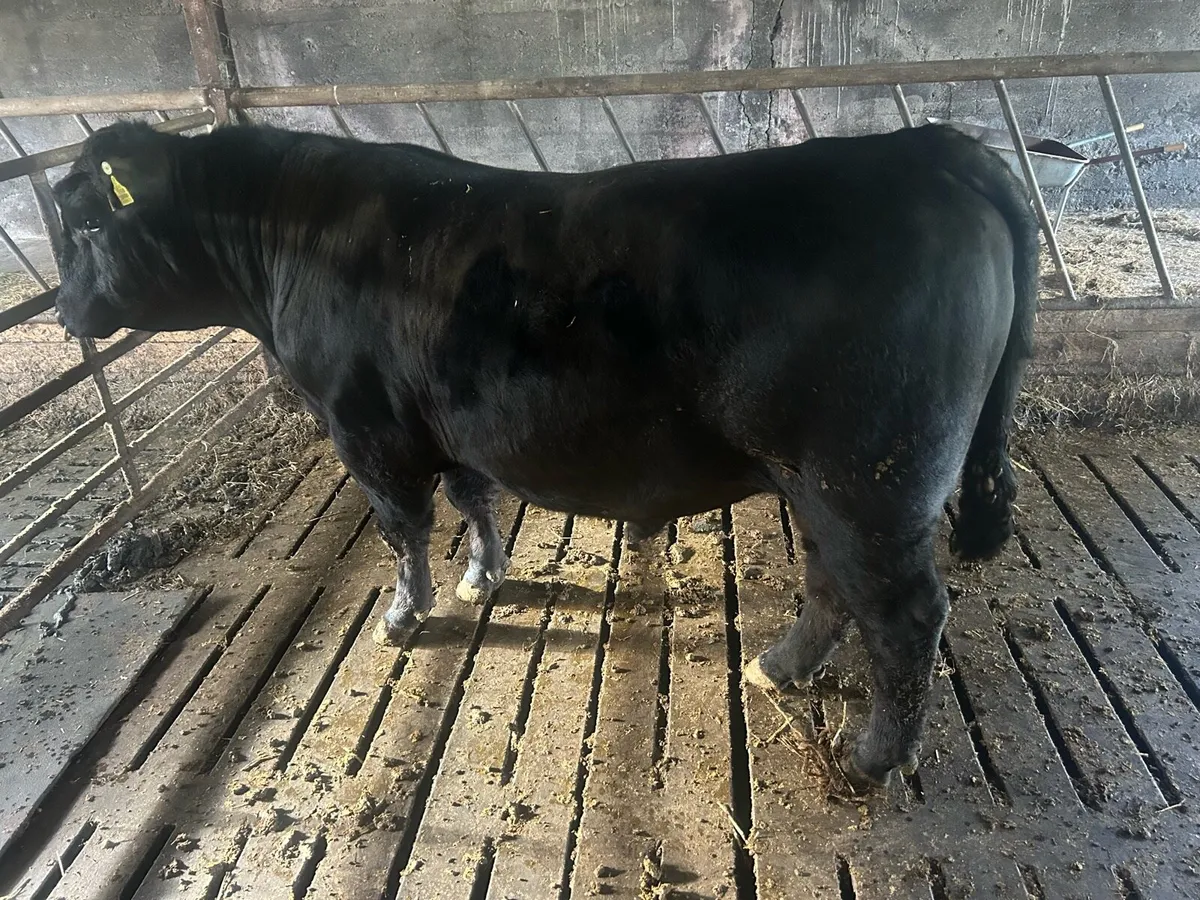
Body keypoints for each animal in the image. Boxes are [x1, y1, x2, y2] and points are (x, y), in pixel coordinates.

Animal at [52, 119, 1036, 790]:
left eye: (90, 224)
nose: (64, 311)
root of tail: (928, 147)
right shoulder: (446, 424)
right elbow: (472, 498)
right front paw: (482, 576)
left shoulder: (365, 428)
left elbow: (402, 528)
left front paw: (404, 614)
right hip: (824, 485)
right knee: (835, 585)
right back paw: (779, 666)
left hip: (868, 481)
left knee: (904, 615)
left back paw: (871, 759)